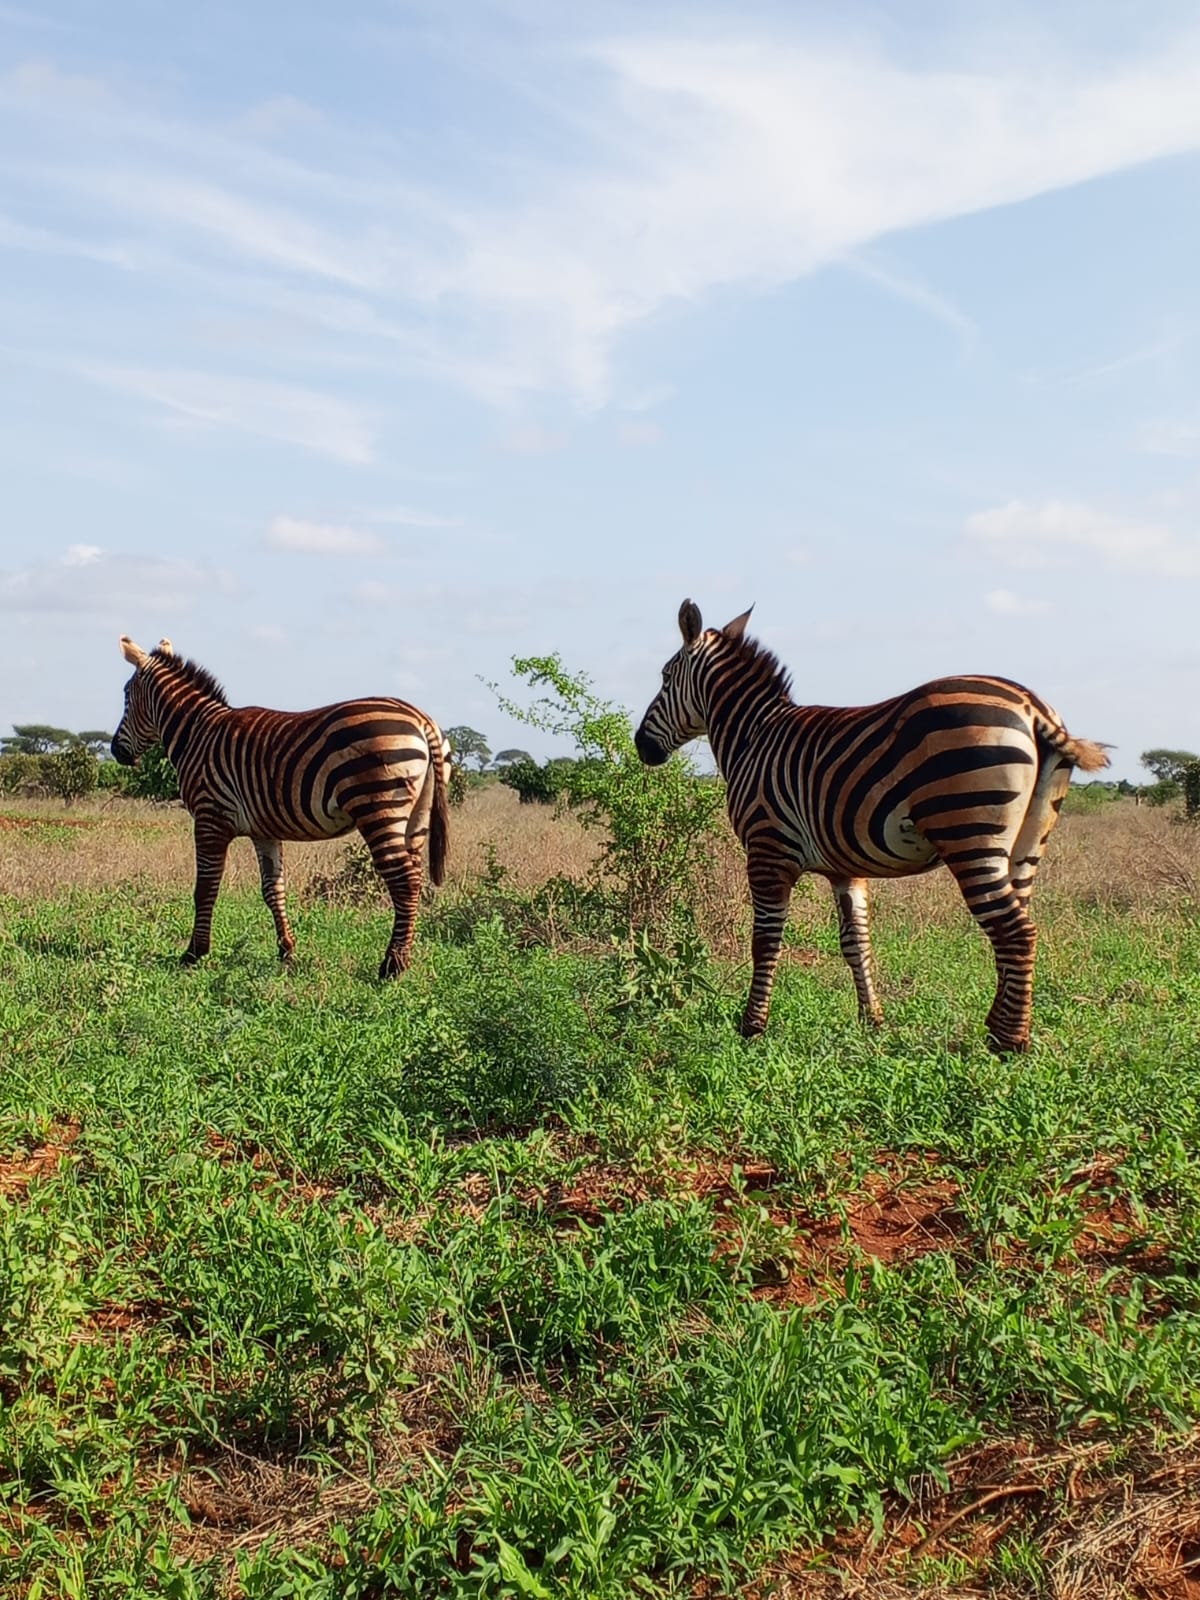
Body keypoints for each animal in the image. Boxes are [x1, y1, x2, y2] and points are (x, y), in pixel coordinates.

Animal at [112, 636, 450, 979]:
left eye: (126, 696)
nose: (115, 752)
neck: (198, 734)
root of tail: (421, 718)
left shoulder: (210, 817)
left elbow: (205, 888)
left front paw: (194, 953)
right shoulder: (264, 830)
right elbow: (273, 889)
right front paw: (287, 951)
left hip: (377, 805)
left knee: (403, 880)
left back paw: (392, 966)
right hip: (415, 815)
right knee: (415, 877)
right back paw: (404, 957)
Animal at [634, 601, 1109, 1052]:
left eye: (664, 677)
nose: (641, 746)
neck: (754, 737)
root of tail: (1032, 706)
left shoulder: (768, 849)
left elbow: (765, 941)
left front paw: (752, 1027)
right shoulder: (845, 866)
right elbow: (855, 942)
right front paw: (872, 1020)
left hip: (969, 833)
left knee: (1015, 933)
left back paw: (1008, 1042)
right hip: (1028, 841)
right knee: (1016, 927)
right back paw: (1001, 1028)